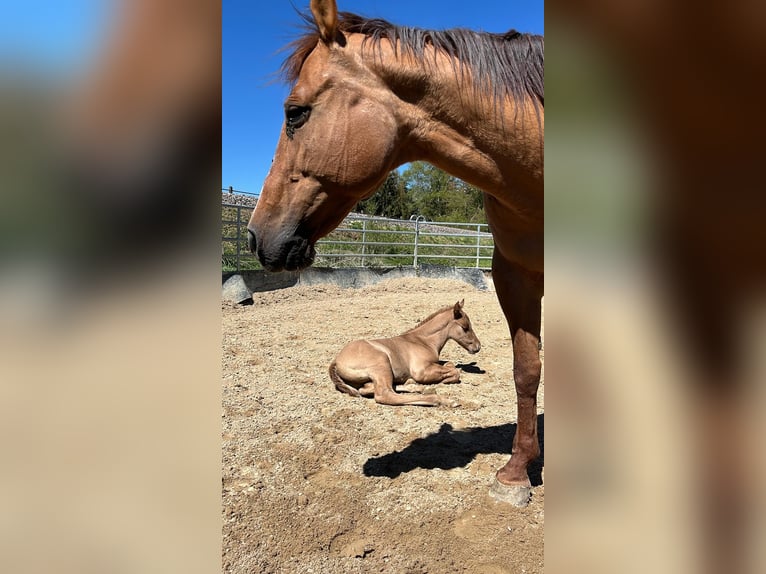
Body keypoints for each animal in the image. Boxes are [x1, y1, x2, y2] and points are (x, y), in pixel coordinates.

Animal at [328, 300, 484, 408]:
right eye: (465, 327)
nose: (477, 347)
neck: (422, 341)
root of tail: (336, 360)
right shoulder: (420, 371)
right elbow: (455, 371)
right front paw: (445, 380)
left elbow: (450, 365)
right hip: (382, 363)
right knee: (385, 394)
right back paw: (442, 399)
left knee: (371, 389)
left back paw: (419, 387)